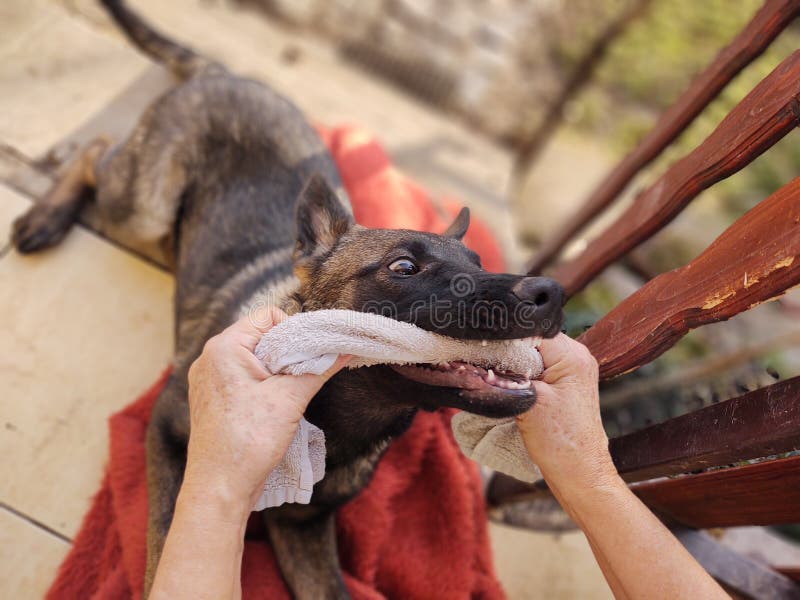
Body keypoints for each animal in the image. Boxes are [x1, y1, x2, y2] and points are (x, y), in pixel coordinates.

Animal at [9, 2, 564, 596]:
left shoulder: (304, 529)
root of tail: (227, 74)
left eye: (479, 264)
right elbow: (164, 541)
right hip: (143, 208)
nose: (552, 294)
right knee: (96, 151)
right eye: (404, 267)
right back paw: (46, 214)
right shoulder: (167, 433)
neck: (341, 418)